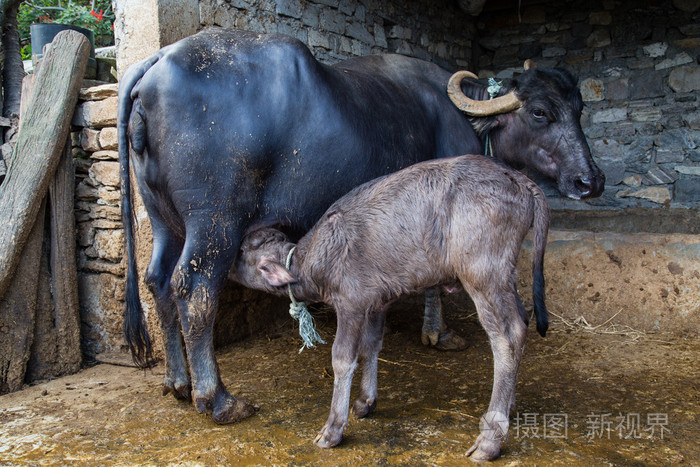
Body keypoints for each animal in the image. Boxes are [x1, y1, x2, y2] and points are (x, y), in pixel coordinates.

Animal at [117, 27, 604, 426]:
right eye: (539, 112)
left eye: (578, 109)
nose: (591, 180)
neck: (462, 117)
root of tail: (157, 61)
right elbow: (433, 281)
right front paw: (439, 333)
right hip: (215, 223)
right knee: (194, 289)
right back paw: (217, 399)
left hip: (164, 222)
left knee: (157, 280)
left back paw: (177, 382)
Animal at [235, 155, 552, 462]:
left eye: (241, 253)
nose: (227, 266)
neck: (322, 251)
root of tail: (518, 179)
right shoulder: (377, 302)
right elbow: (371, 346)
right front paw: (365, 401)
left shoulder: (351, 303)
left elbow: (342, 358)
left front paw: (333, 428)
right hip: (505, 276)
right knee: (523, 320)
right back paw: (509, 404)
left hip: (483, 274)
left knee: (508, 337)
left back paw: (491, 436)